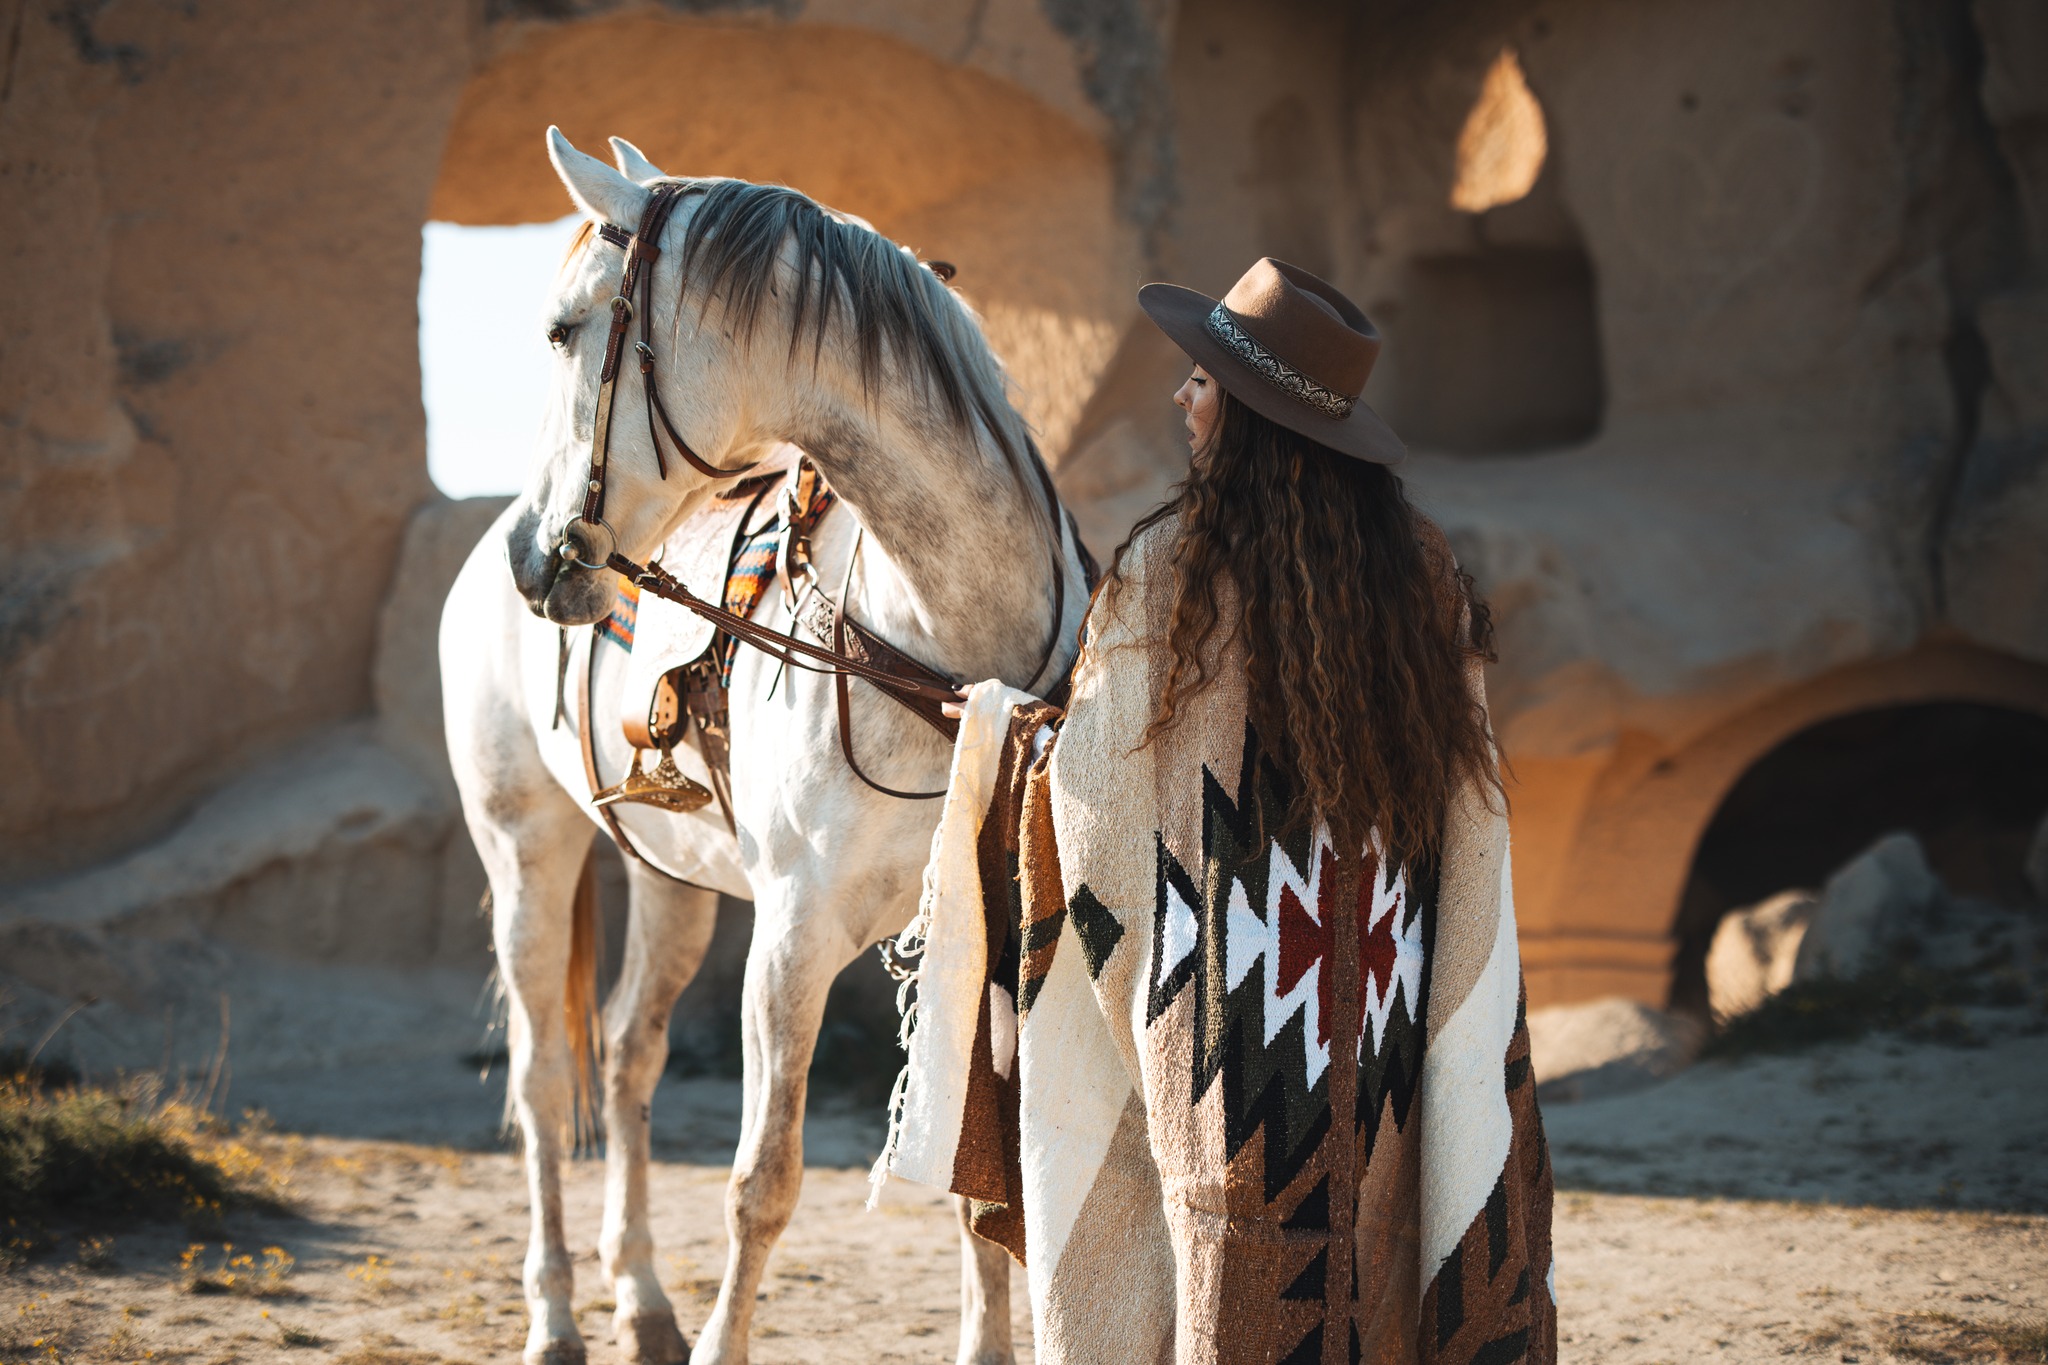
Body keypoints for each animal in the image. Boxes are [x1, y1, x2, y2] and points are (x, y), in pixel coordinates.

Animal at [438, 129, 1088, 1365]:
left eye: (560, 329)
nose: (539, 558)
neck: (940, 651)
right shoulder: (791, 938)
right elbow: (762, 1183)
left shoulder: (979, 933)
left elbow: (978, 1186)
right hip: (524, 854)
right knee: (544, 1082)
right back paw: (556, 1313)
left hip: (671, 884)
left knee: (628, 1057)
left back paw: (642, 1299)